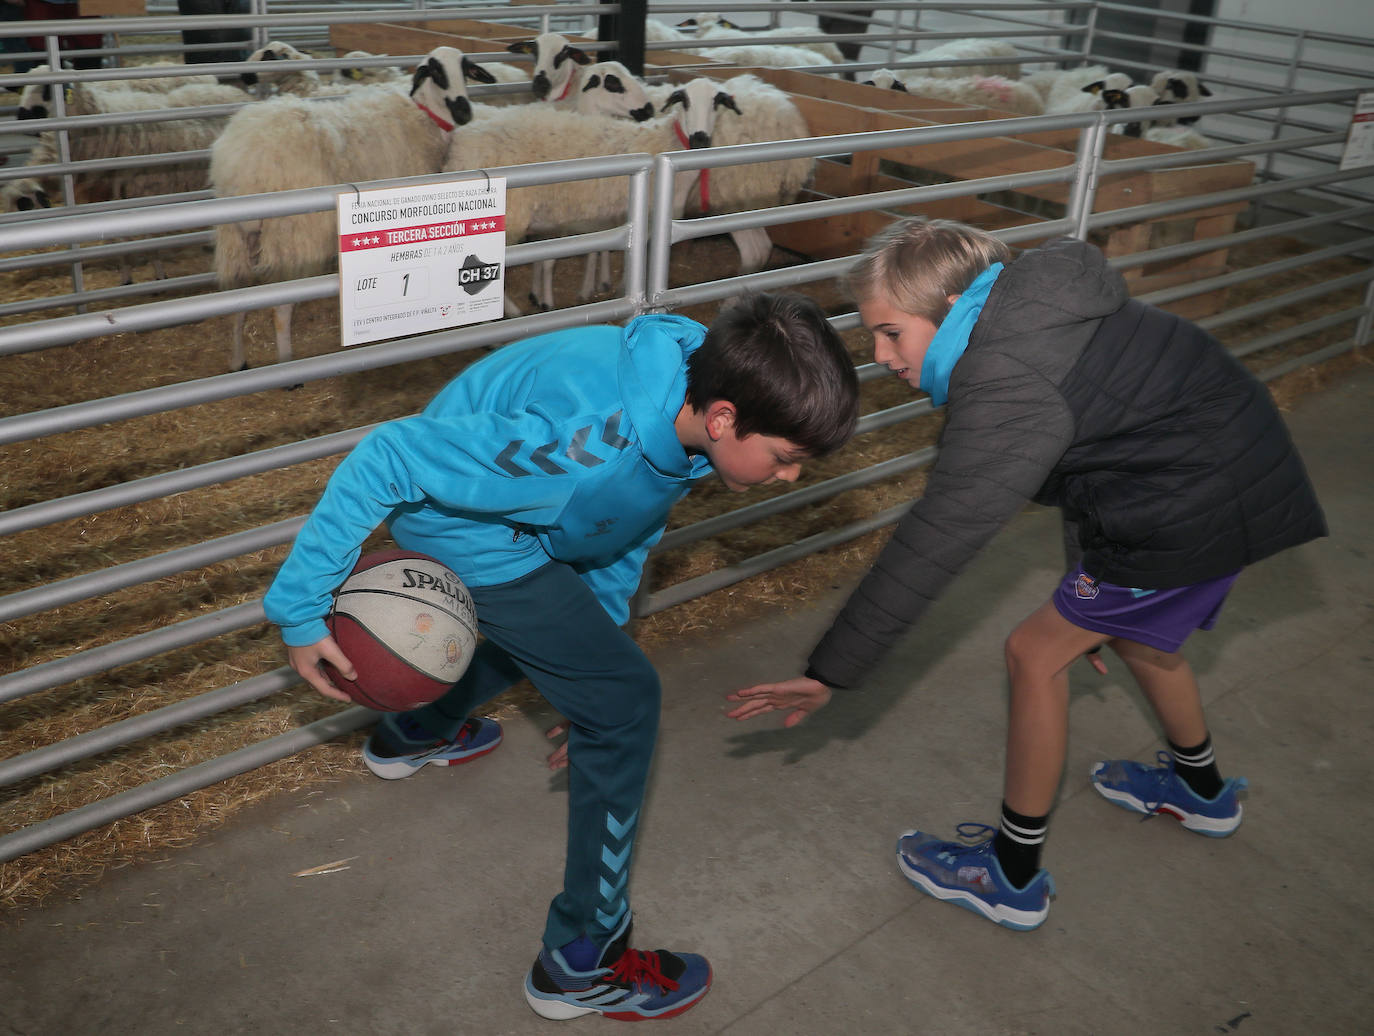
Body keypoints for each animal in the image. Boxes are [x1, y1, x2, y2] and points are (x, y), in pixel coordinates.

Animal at [211, 49, 497, 370]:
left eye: (466, 69)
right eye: (435, 72)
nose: (464, 113)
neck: (425, 116)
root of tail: (244, 163)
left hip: (237, 238)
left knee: (239, 298)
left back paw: (238, 360)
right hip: (293, 240)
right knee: (281, 309)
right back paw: (287, 365)